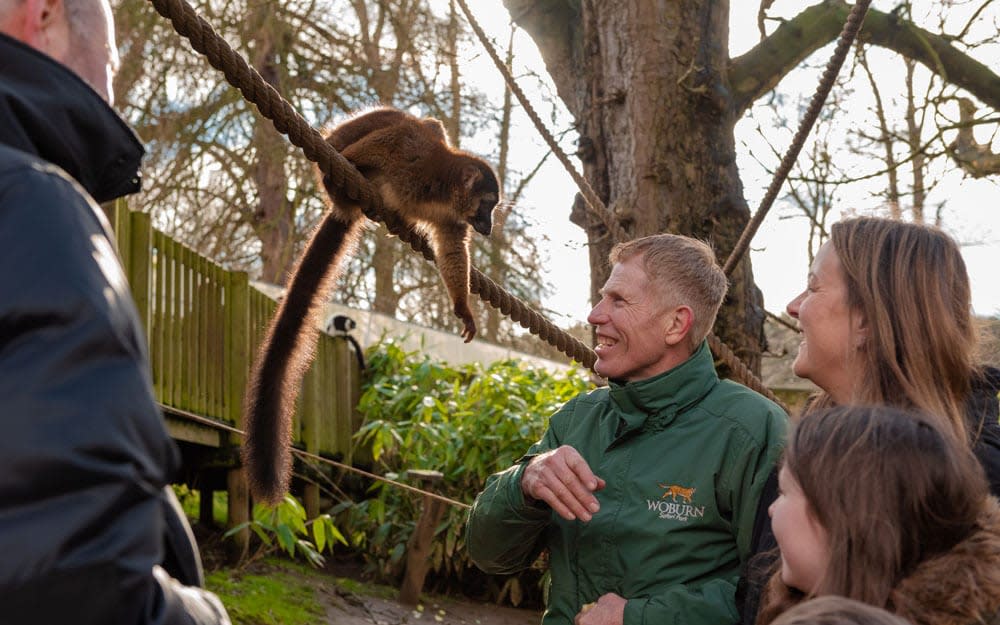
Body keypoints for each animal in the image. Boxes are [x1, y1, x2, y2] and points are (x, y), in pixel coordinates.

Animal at [239, 107, 496, 504]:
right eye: (486, 206)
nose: (488, 226)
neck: (439, 187)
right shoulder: (412, 155)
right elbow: (390, 139)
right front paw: (350, 163)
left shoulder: (451, 216)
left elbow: (453, 250)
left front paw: (462, 307)